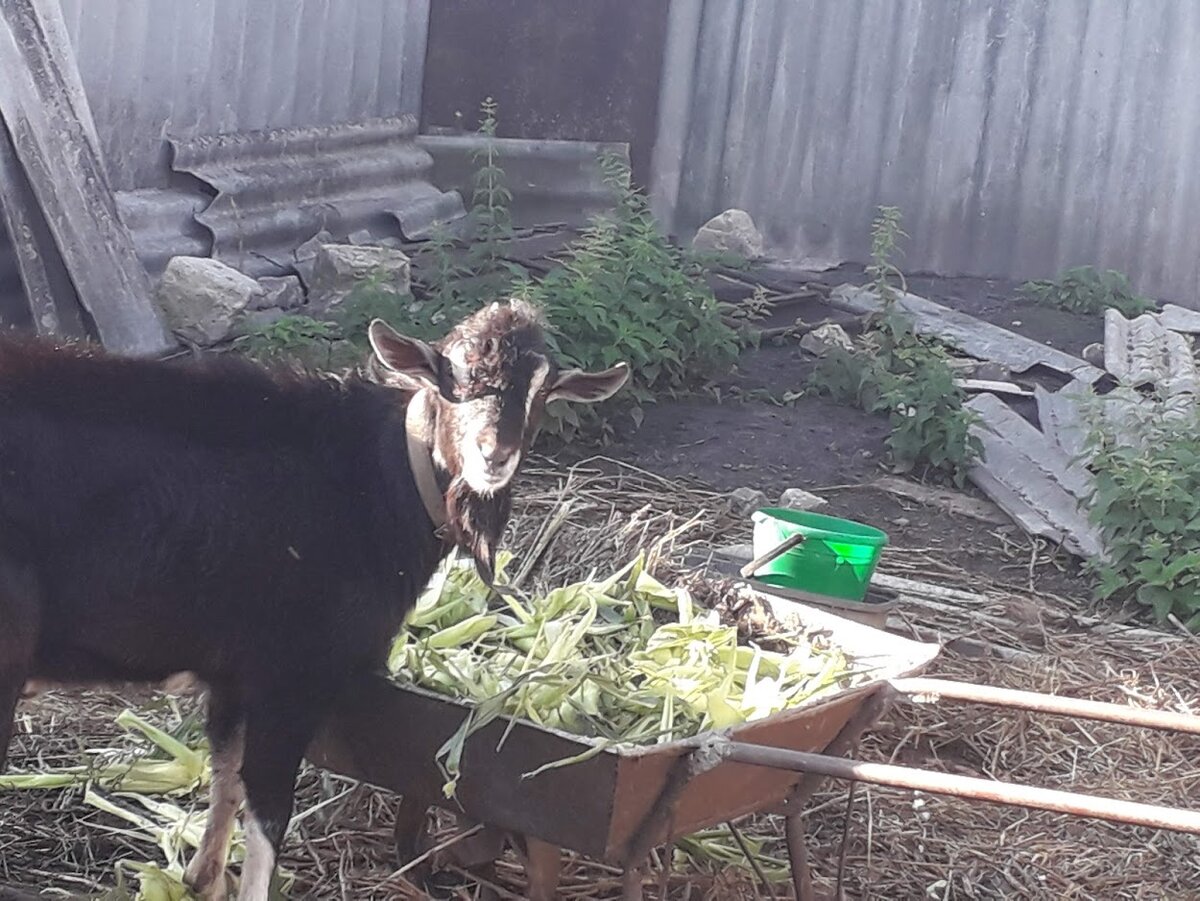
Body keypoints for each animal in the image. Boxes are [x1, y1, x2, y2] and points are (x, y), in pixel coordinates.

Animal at [0, 299, 628, 897]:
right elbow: (269, 810)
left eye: (541, 390)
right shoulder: (295, 674)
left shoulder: (236, 673)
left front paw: (202, 879)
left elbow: (226, 776)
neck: (373, 484)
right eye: (449, 375)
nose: (493, 456)